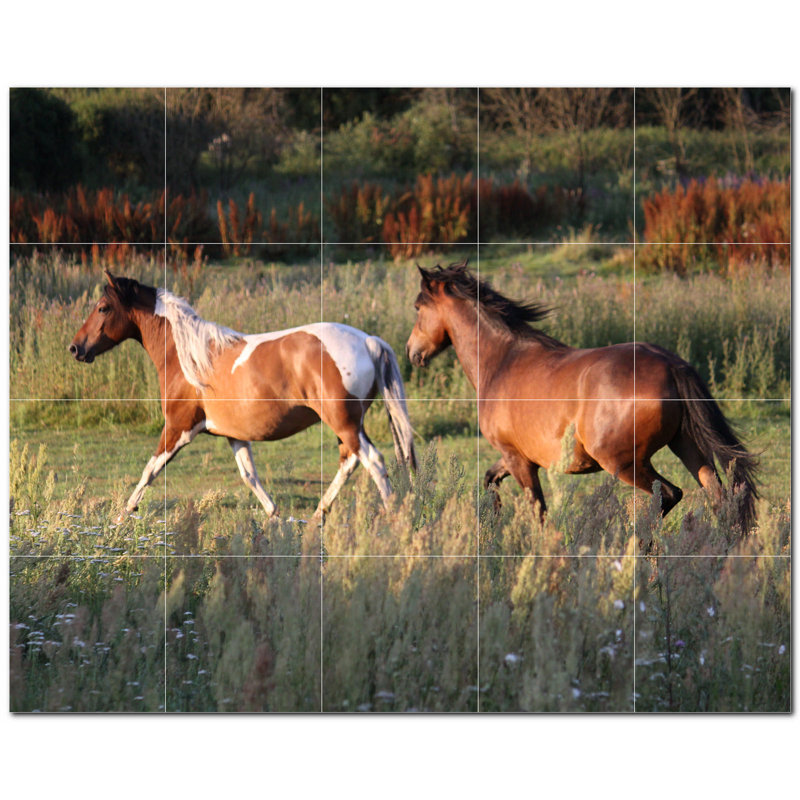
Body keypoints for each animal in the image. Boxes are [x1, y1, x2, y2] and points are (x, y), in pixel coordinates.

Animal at [70, 270, 417, 522]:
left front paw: (123, 515)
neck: (187, 357)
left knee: (373, 461)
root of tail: (369, 342)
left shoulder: (179, 428)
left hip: (343, 422)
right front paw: (274, 516)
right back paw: (318, 516)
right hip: (346, 425)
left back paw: (393, 517)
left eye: (103, 308)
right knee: (350, 462)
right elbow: (249, 475)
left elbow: (150, 470)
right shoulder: (234, 435)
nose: (75, 348)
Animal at [406, 262, 758, 531]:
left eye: (418, 307)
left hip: (624, 462)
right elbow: (491, 480)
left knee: (670, 494)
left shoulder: (518, 460)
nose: (412, 352)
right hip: (687, 447)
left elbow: (538, 513)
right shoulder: (515, 457)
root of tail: (672, 365)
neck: (502, 360)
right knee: (720, 498)